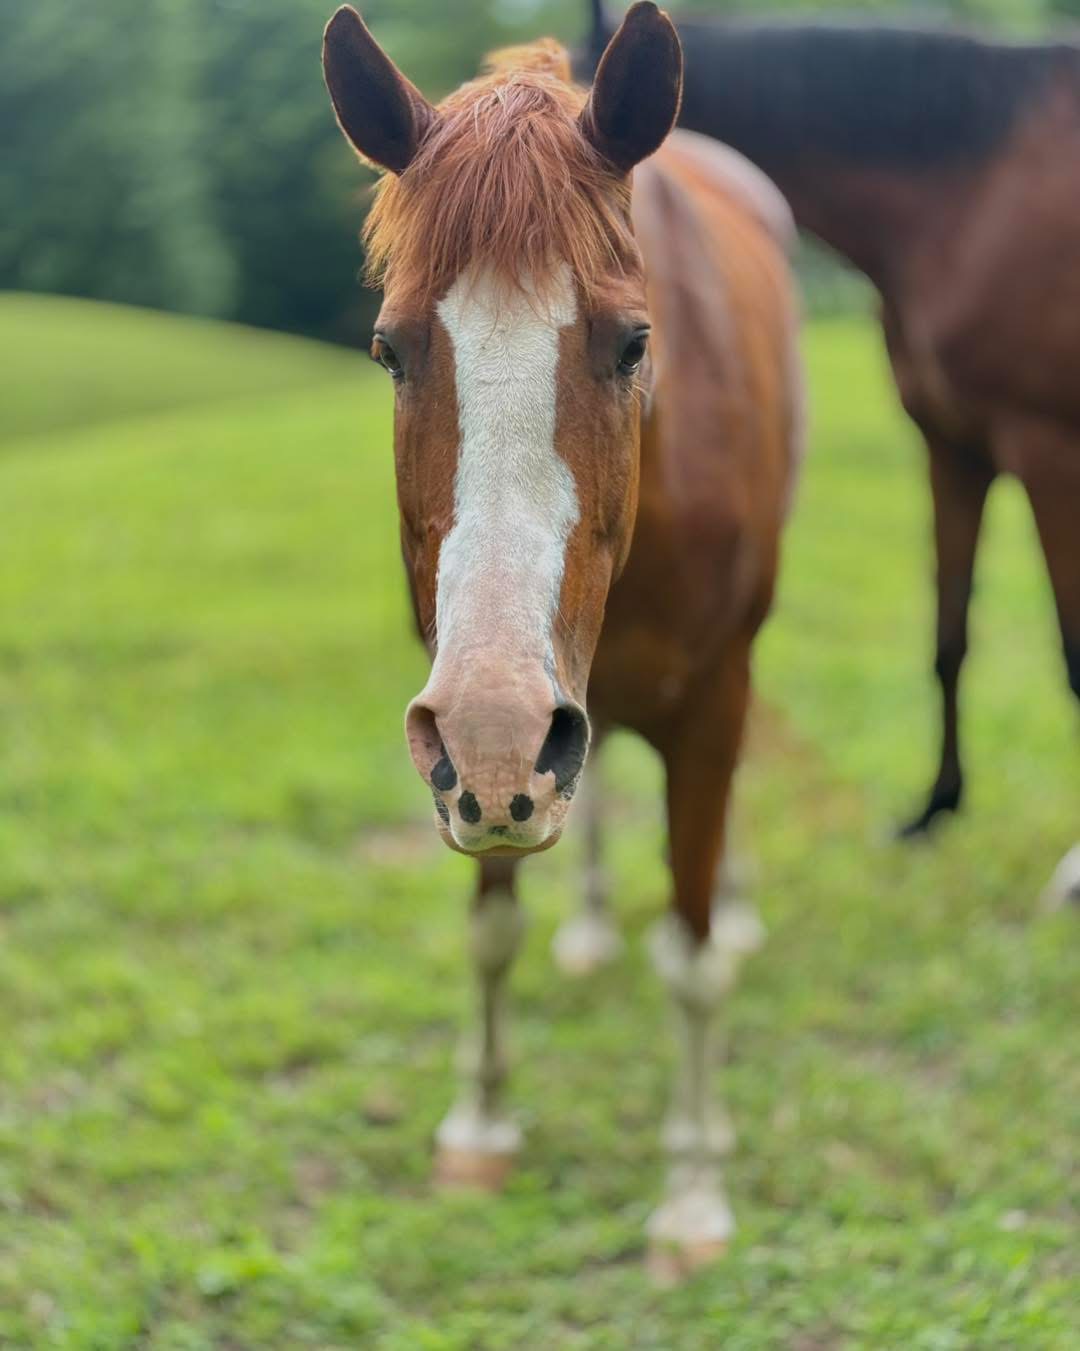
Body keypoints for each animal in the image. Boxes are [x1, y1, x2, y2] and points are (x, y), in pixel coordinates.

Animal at [323, 1, 803, 1274]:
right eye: (390, 349)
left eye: (633, 343)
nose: (502, 739)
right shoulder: (473, 732)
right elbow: (492, 926)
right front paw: (482, 1123)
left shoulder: (702, 701)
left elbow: (690, 956)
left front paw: (693, 1190)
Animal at [586, 5, 1080, 897]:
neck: (978, 187)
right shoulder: (954, 446)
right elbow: (949, 636)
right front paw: (934, 809)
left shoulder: (1050, 449)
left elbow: (1075, 654)